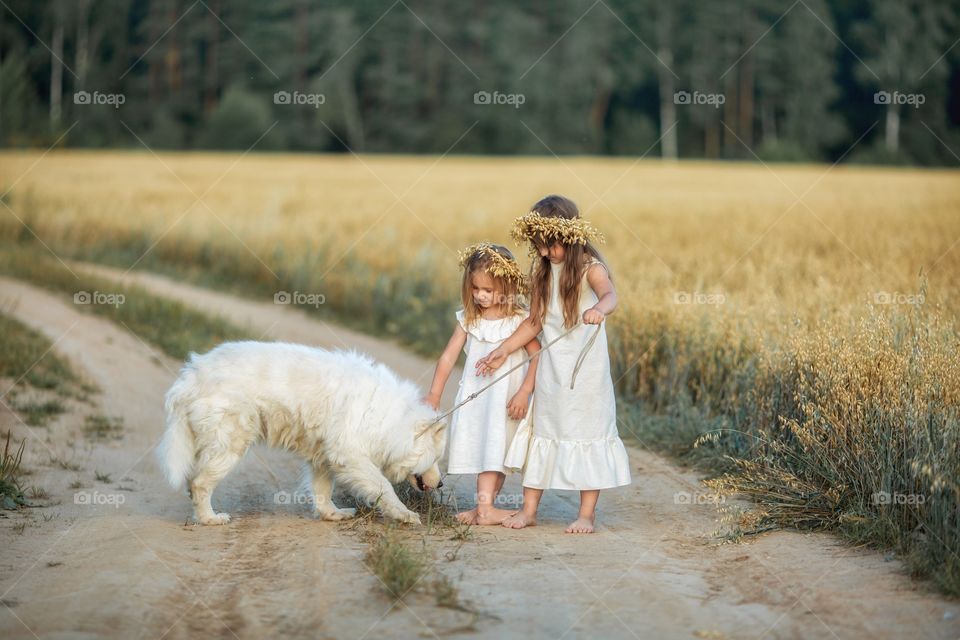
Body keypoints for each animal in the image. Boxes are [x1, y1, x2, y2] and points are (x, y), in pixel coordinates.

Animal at [156, 340, 444, 524]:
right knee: (199, 483)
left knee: (194, 483)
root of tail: (191, 375)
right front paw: (405, 515)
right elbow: (383, 486)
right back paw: (210, 519)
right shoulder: (351, 456)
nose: (441, 484)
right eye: (437, 459)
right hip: (230, 446)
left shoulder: (325, 458)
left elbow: (323, 491)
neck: (390, 419)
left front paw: (333, 515)